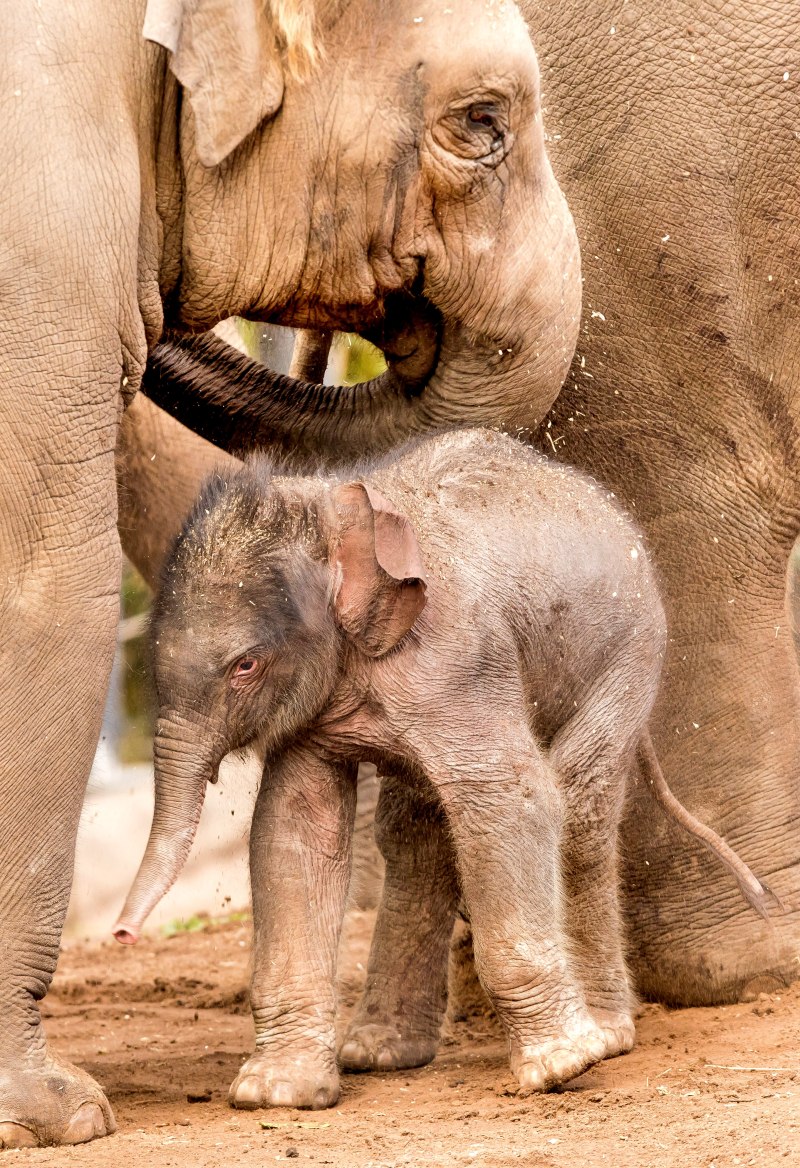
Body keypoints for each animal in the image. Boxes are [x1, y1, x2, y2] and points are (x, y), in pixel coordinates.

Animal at [113, 432, 775, 1111]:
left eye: (245, 665)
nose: (122, 935)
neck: (329, 510)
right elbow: (294, 832)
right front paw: (276, 1094)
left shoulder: (457, 662)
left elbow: (510, 797)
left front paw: (562, 1067)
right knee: (418, 833)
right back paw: (380, 1051)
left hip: (631, 656)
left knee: (578, 808)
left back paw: (608, 1035)